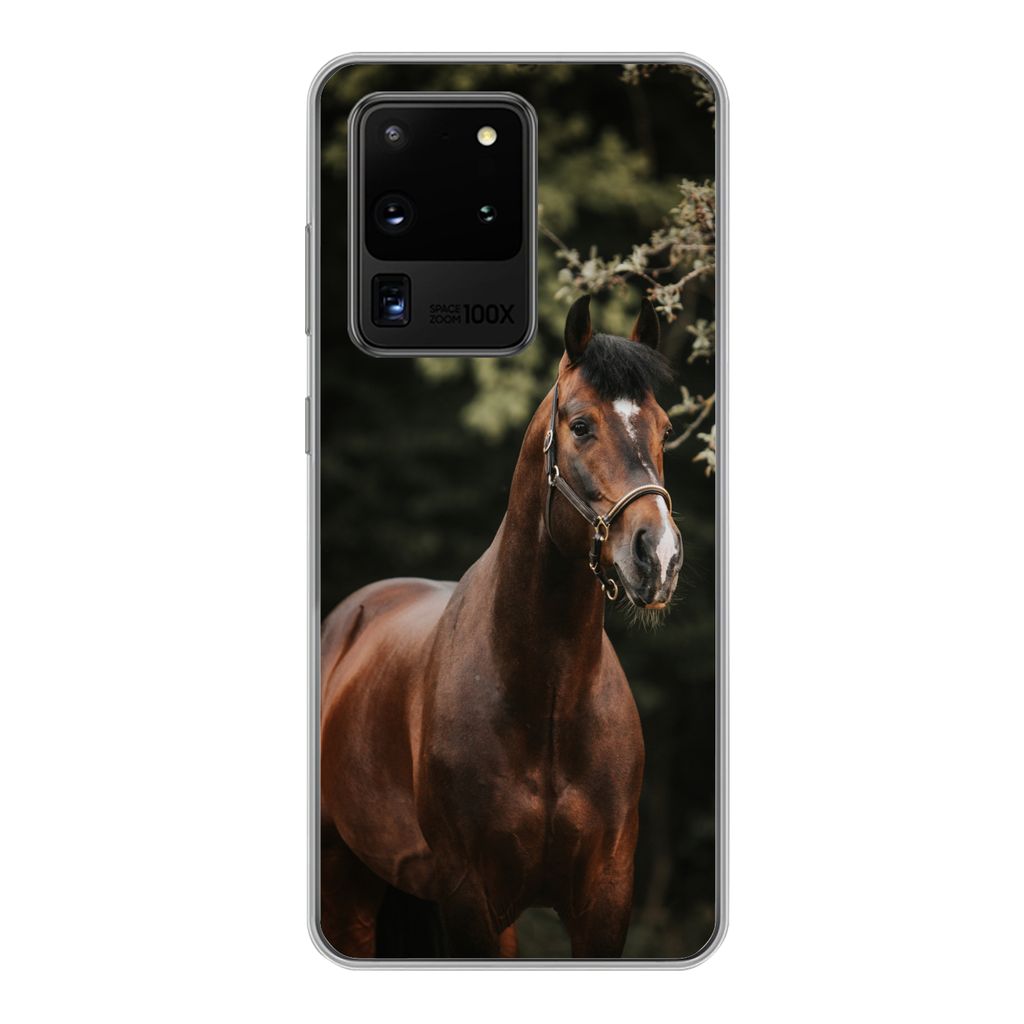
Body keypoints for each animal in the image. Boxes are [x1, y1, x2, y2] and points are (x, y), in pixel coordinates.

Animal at [319, 295, 683, 958]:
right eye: (581, 425)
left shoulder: (605, 900)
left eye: (665, 427)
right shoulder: (470, 897)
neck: (547, 700)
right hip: (346, 887)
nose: (659, 556)